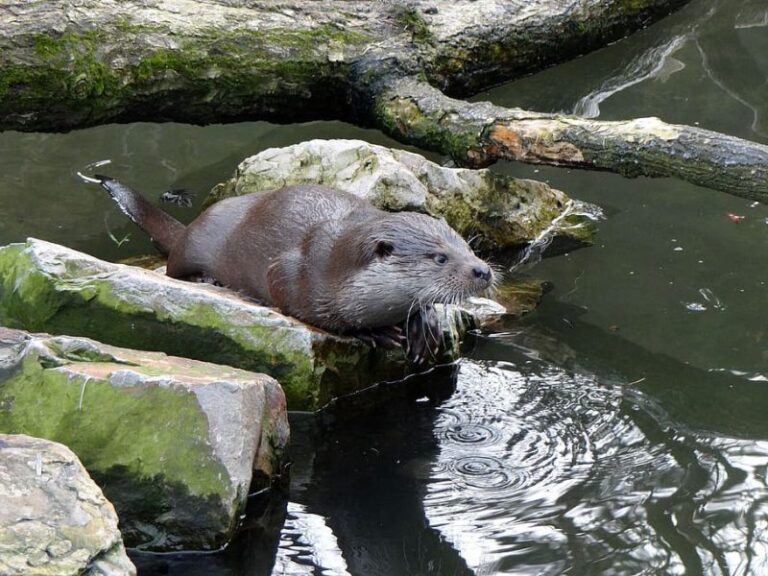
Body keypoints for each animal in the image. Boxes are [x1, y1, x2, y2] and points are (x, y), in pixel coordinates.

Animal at [94, 176, 494, 361]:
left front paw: (425, 325)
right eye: (440, 258)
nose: (483, 271)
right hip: (195, 244)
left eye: (467, 247)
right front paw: (374, 332)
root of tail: (191, 225)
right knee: (173, 267)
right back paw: (207, 278)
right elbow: (297, 302)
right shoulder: (296, 273)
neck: (339, 269)